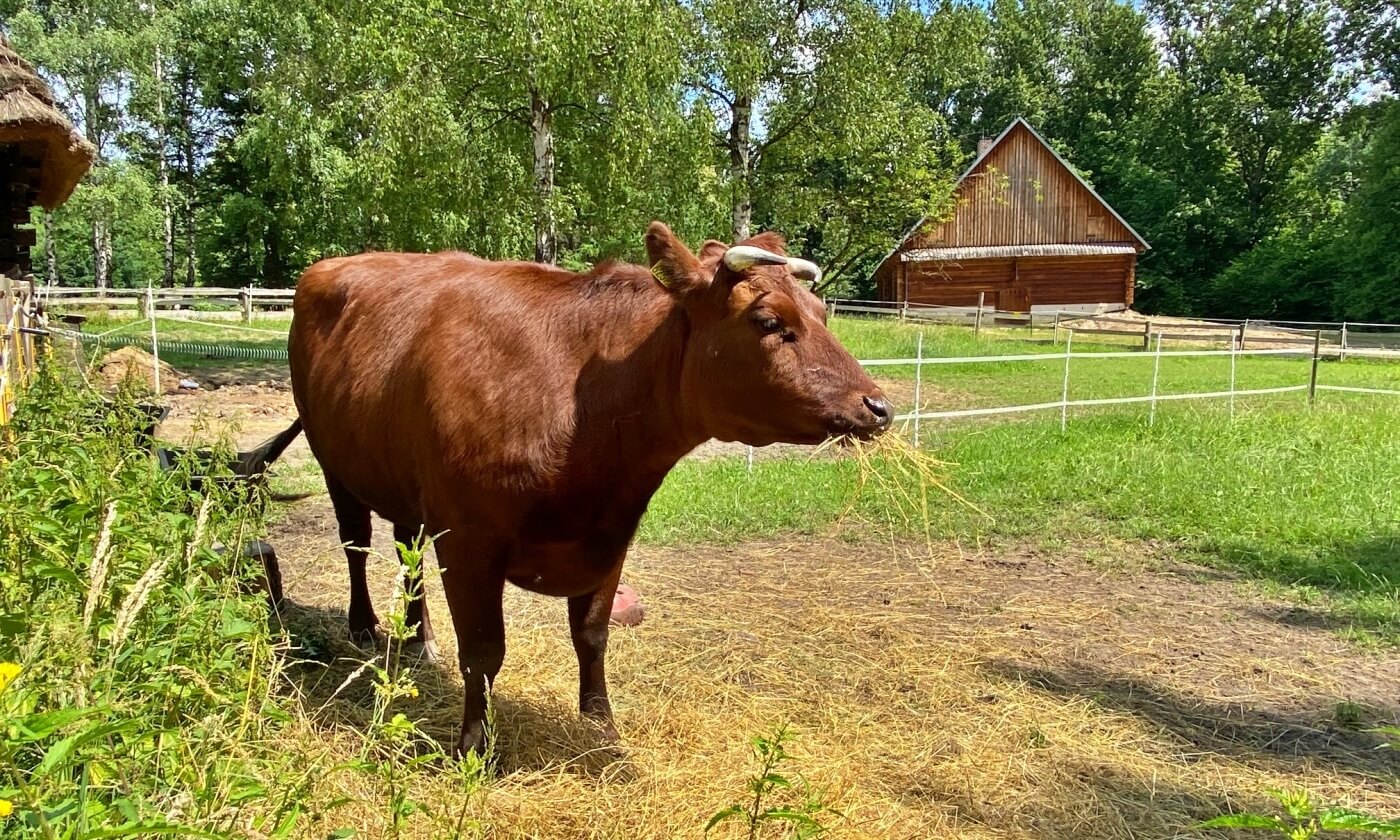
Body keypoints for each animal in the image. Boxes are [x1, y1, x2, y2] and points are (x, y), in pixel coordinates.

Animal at [289, 221, 890, 756]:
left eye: (821, 313)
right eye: (768, 320)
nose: (878, 406)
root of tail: (332, 264)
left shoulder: (611, 536)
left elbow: (593, 635)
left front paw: (602, 726)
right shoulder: (469, 540)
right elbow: (483, 651)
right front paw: (473, 747)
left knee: (405, 550)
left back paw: (421, 638)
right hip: (332, 459)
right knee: (355, 543)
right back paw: (365, 627)